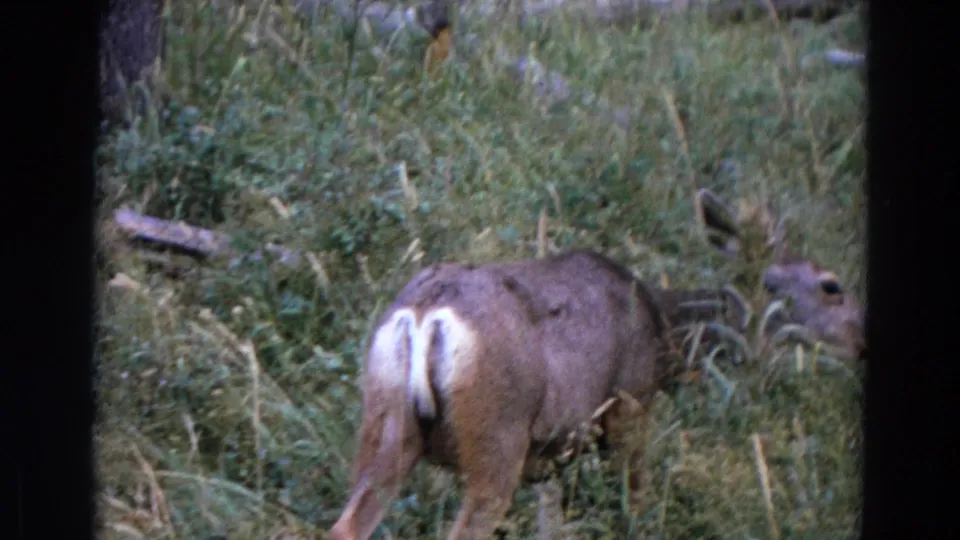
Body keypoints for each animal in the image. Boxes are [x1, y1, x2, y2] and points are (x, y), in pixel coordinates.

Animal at [327, 188, 865, 540]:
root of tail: (424, 314)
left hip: (385, 422)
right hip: (496, 435)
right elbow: (637, 504)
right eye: (831, 285)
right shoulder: (629, 405)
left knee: (345, 526)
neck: (664, 331)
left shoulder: (555, 452)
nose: (862, 338)